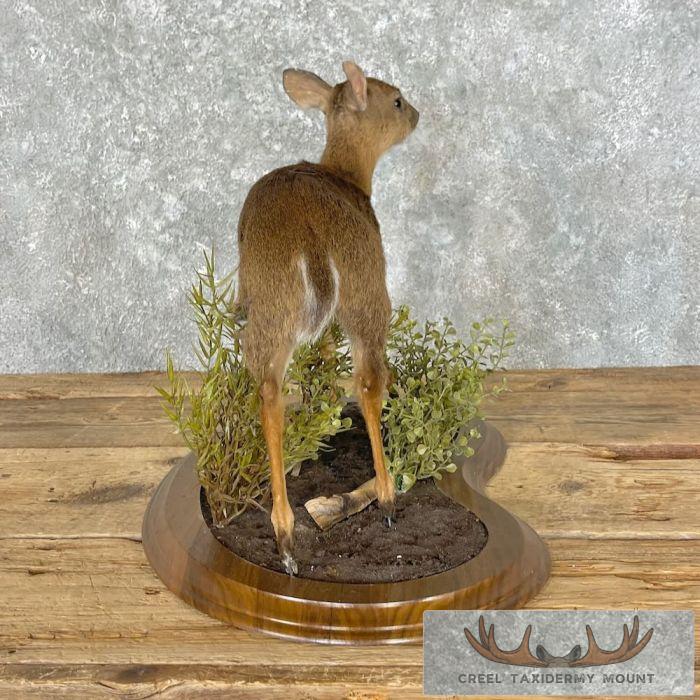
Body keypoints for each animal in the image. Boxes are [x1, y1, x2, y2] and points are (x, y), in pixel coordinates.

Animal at [236, 61, 419, 575]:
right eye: (396, 99)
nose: (418, 115)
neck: (349, 176)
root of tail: (311, 236)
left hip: (270, 304)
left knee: (270, 390)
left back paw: (285, 538)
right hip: (367, 290)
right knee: (370, 380)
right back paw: (387, 500)